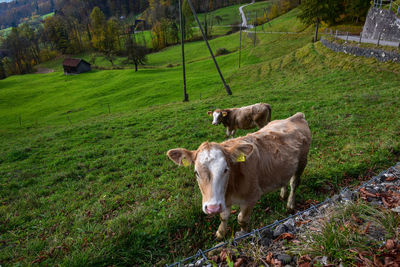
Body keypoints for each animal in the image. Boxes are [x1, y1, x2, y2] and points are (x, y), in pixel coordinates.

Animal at [167, 113, 310, 241]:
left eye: (226, 169)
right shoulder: (224, 201)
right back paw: (283, 194)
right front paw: (220, 233)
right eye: (196, 172)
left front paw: (243, 234)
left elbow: (242, 220)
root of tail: (295, 116)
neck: (230, 189)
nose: (212, 208)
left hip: (302, 162)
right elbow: (223, 217)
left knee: (294, 183)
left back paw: (290, 204)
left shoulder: (251, 197)